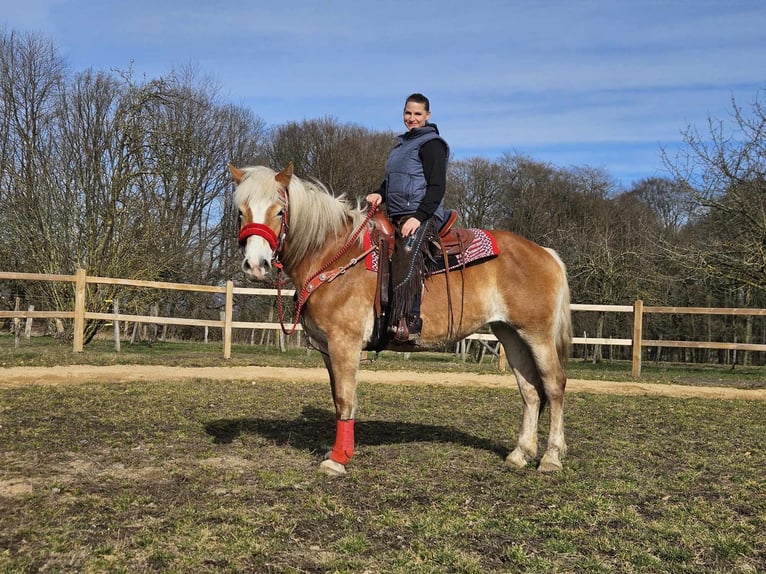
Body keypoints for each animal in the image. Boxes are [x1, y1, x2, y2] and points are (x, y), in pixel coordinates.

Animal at [228, 162, 568, 476]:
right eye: (241, 212)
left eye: (279, 211)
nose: (256, 265)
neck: (334, 254)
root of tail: (546, 253)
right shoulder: (327, 349)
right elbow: (338, 398)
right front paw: (339, 451)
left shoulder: (344, 344)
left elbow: (345, 398)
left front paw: (338, 460)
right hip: (510, 333)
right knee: (530, 390)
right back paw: (520, 454)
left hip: (537, 334)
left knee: (554, 384)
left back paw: (551, 457)